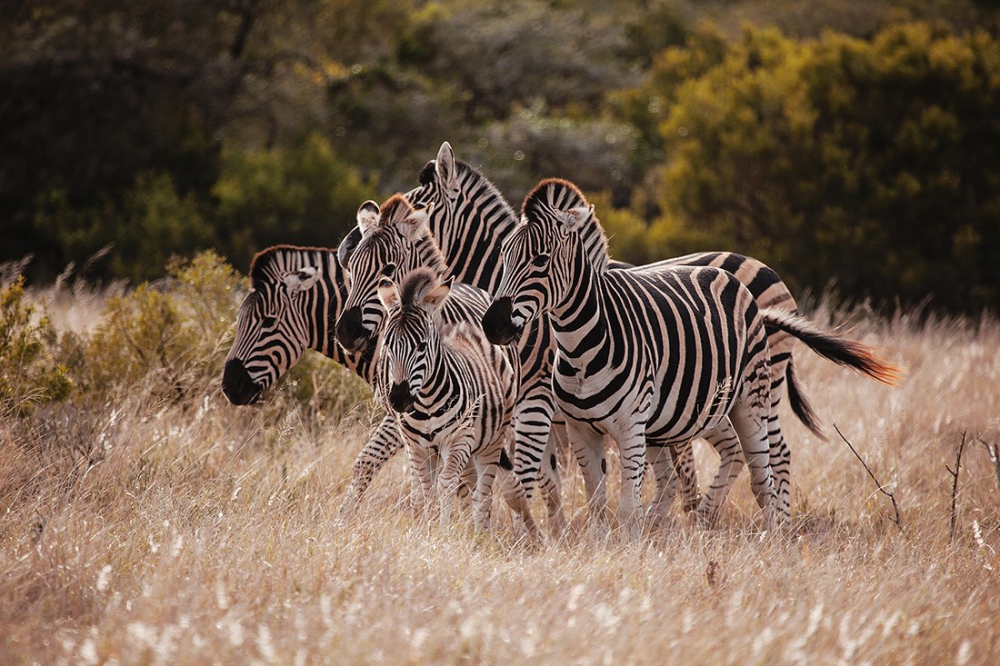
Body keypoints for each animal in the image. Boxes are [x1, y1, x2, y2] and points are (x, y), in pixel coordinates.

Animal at [376, 264, 540, 536]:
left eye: (421, 346)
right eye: (388, 345)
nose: (399, 400)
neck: (426, 404)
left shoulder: (458, 439)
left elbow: (446, 484)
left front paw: (441, 532)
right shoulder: (416, 446)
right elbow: (425, 491)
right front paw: (425, 529)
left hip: (491, 441)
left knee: (485, 494)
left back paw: (481, 535)